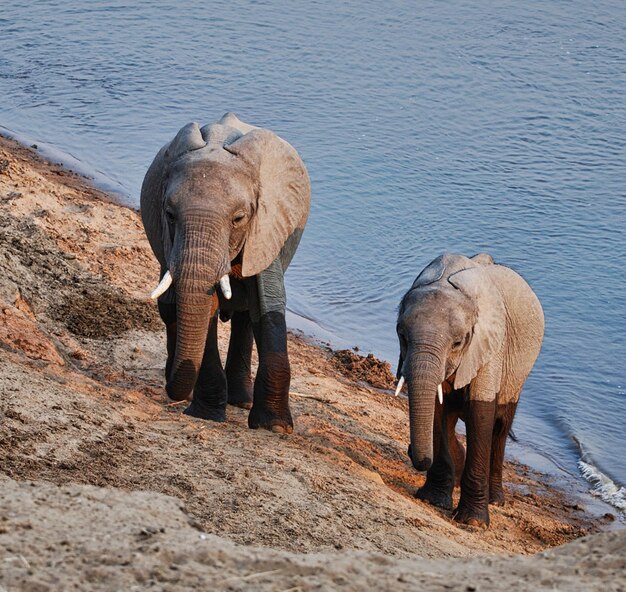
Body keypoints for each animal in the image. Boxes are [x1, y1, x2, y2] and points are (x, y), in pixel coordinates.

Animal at [140, 112, 308, 434]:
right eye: (169, 214)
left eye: (239, 218)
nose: (171, 391)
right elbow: (205, 309)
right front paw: (206, 414)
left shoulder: (268, 227)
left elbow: (267, 304)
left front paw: (274, 427)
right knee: (168, 307)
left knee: (245, 316)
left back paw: (240, 401)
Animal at [394, 253, 540, 528]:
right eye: (402, 336)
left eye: (458, 343)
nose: (414, 455)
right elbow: (437, 411)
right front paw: (433, 500)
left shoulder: (491, 347)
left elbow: (480, 415)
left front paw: (473, 522)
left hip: (517, 375)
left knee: (500, 428)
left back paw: (496, 500)